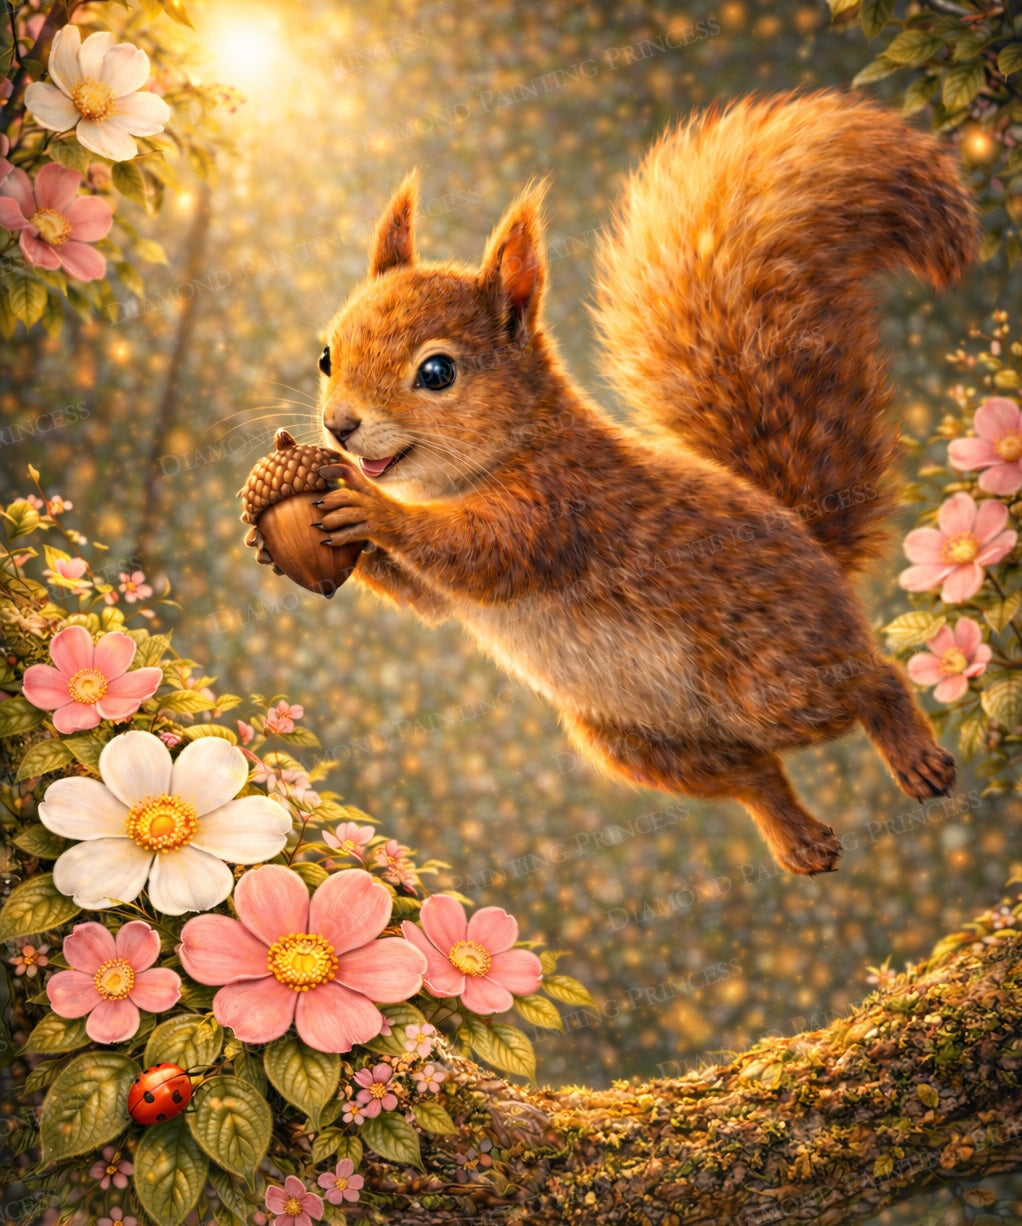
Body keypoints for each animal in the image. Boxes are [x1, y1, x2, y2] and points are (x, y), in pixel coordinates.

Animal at [252, 90, 978, 876]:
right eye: (327, 355)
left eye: (438, 372)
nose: (339, 426)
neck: (479, 465)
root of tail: (816, 548)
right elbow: (432, 599)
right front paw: (282, 540)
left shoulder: (565, 504)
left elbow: (482, 553)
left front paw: (373, 508)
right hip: (633, 741)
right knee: (755, 774)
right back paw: (798, 838)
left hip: (778, 674)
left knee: (872, 683)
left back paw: (914, 756)